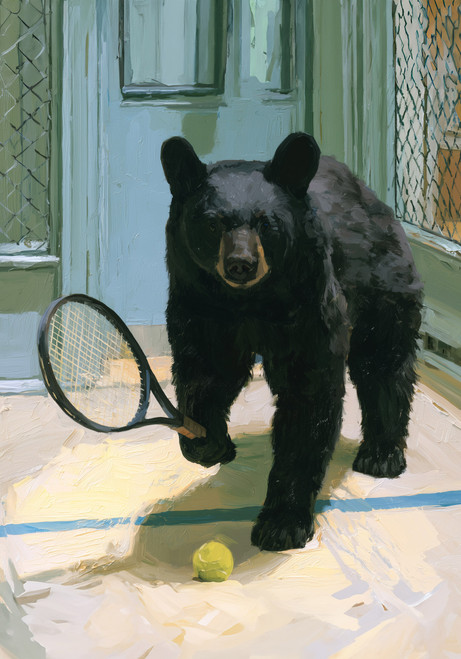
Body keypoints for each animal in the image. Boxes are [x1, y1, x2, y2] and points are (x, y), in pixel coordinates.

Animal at [160, 132, 423, 552]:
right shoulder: (200, 302)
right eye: (213, 223)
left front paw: (282, 523)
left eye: (267, 222)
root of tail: (371, 195)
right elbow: (207, 371)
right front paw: (207, 442)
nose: (240, 264)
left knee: (383, 363)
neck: (250, 301)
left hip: (383, 280)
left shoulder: (309, 303)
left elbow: (308, 398)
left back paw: (381, 455)